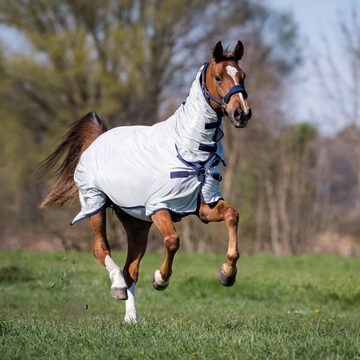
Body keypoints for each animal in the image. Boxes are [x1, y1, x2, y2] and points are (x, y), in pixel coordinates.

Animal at [40, 40, 252, 322]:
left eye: (242, 76)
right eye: (218, 77)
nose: (242, 114)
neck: (189, 149)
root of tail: (98, 138)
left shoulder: (203, 206)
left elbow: (232, 215)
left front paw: (227, 274)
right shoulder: (159, 207)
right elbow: (173, 241)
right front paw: (160, 279)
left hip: (136, 223)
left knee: (130, 269)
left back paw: (131, 319)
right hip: (96, 205)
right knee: (101, 249)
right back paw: (117, 287)